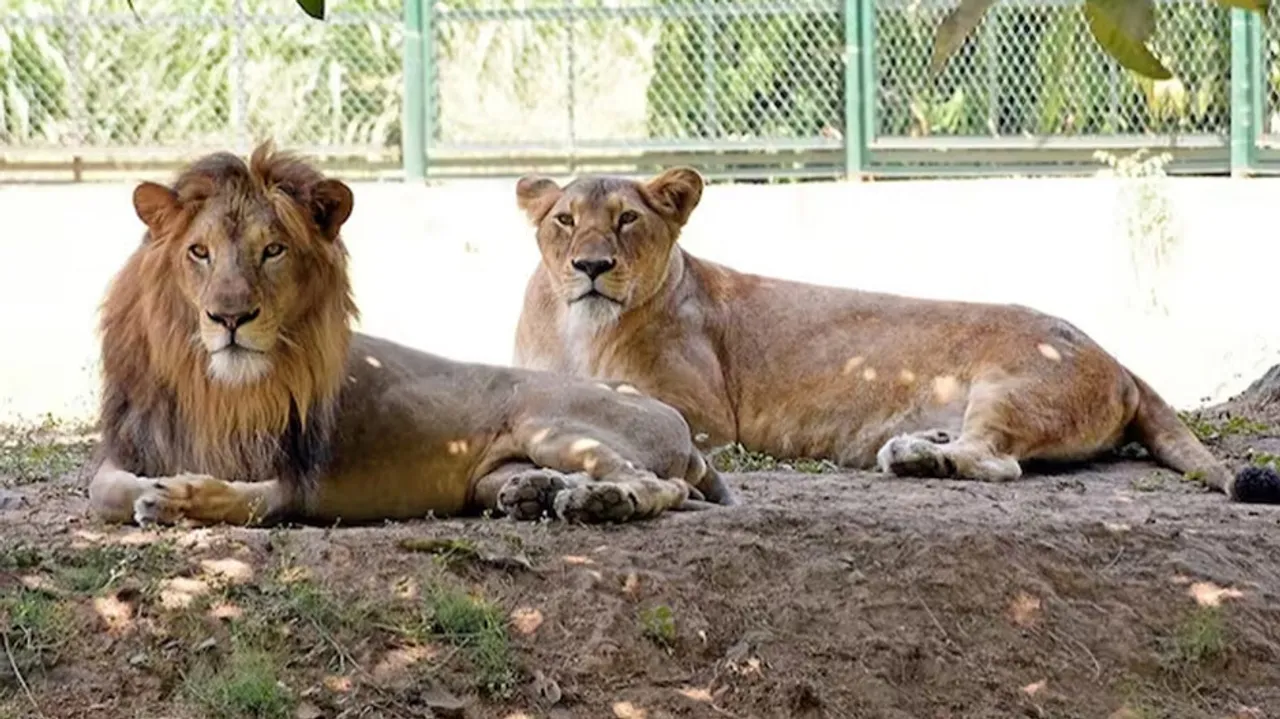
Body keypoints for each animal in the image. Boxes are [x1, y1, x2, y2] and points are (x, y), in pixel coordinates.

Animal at [85, 143, 736, 529]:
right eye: (199, 252)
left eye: (273, 251)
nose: (229, 318)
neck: (214, 386)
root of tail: (674, 422)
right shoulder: (127, 451)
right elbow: (103, 490)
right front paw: (155, 490)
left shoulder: (305, 481)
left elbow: (251, 500)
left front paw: (180, 497)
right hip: (499, 468)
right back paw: (535, 491)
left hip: (549, 419)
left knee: (652, 484)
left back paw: (596, 502)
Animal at [511, 167, 1280, 504]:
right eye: (564, 220)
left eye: (627, 220)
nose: (591, 266)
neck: (580, 330)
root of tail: (1116, 355)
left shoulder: (707, 419)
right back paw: (923, 443)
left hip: (1014, 383)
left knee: (1000, 462)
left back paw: (914, 456)